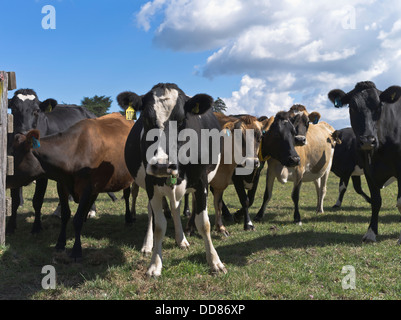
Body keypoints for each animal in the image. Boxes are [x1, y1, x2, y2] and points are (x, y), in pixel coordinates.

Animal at [6, 114, 134, 258]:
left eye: (13, 156)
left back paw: (128, 218)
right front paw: (60, 243)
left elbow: (76, 219)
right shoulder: (62, 185)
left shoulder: (86, 187)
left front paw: (77, 251)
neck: (74, 152)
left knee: (127, 195)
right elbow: (65, 214)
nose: (5, 179)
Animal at [119, 84, 225, 276]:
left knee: (175, 207)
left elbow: (204, 223)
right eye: (146, 119)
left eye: (182, 120)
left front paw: (215, 261)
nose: (162, 165)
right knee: (152, 213)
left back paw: (181, 239)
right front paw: (155, 264)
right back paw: (148, 245)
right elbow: (159, 225)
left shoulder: (201, 182)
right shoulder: (151, 184)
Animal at [326, 80, 400, 242]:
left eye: (379, 106)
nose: (367, 141)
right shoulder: (367, 170)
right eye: (351, 107)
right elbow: (375, 200)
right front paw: (371, 233)